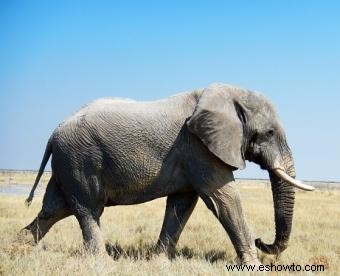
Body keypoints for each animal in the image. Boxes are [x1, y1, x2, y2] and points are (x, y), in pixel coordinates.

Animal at [21, 83, 314, 264]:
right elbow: (225, 199)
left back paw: (19, 246)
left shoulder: (191, 153)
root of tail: (53, 133)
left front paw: (160, 262)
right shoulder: (198, 148)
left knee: (55, 208)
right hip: (80, 161)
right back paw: (103, 262)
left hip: (67, 163)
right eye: (269, 133)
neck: (227, 94)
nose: (261, 240)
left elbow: (182, 204)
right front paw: (255, 267)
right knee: (88, 209)